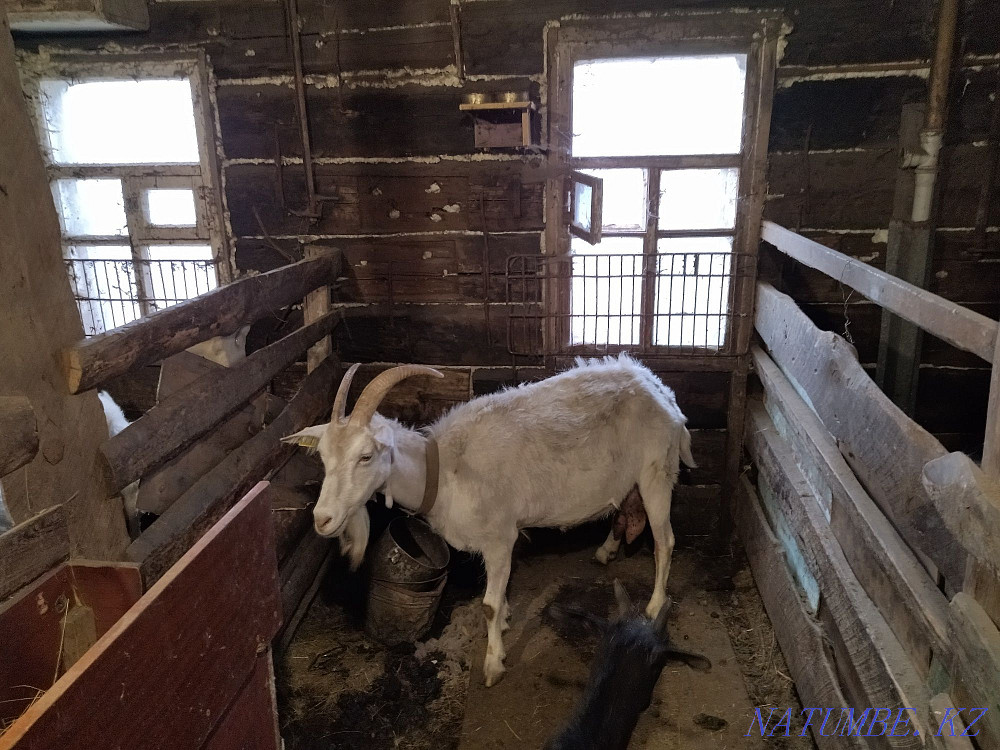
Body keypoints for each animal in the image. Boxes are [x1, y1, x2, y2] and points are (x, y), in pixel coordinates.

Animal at [283, 353, 695, 686]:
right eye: (323, 457)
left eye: (366, 456)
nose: (322, 519)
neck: (446, 470)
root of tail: (661, 391)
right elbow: (499, 592)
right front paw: (508, 620)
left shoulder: (499, 536)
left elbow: (488, 605)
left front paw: (494, 663)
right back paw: (606, 551)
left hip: (657, 473)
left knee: (665, 541)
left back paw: (655, 605)